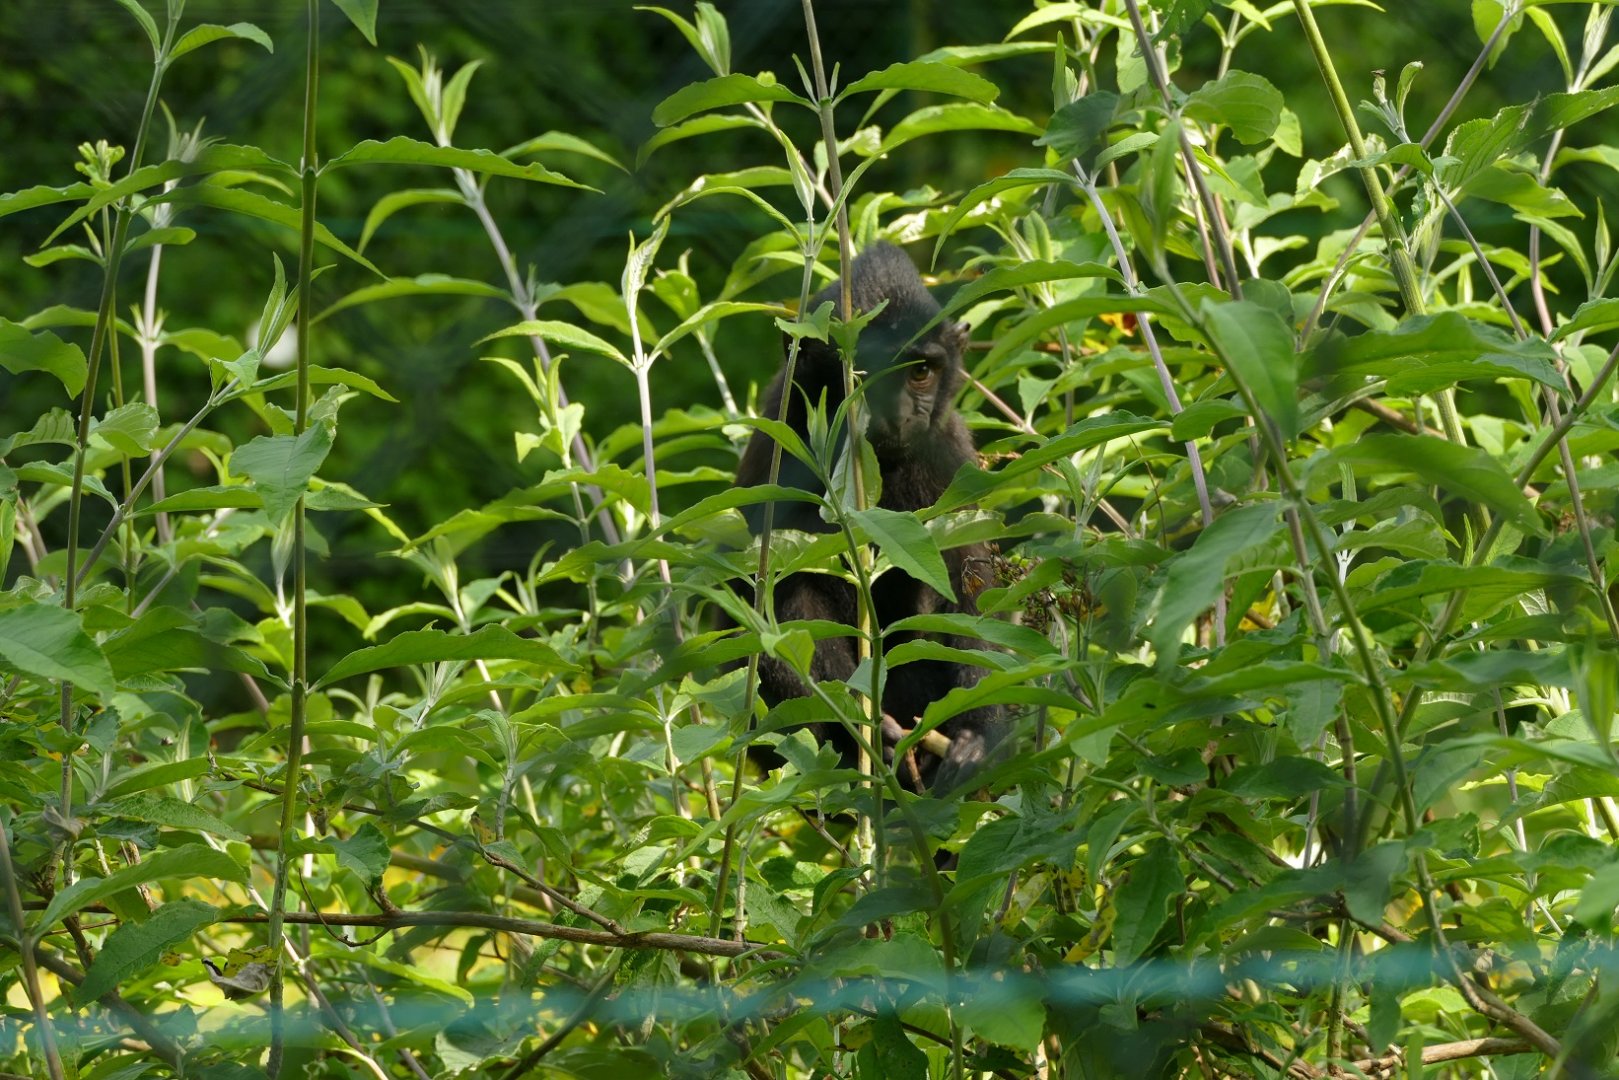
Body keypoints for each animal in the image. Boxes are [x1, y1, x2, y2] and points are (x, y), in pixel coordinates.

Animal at [731, 241, 1006, 794]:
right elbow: (765, 603)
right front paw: (864, 726)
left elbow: (970, 577)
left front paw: (978, 737)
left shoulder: (947, 453)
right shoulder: (782, 449)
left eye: (920, 371)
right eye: (860, 373)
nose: (898, 415)